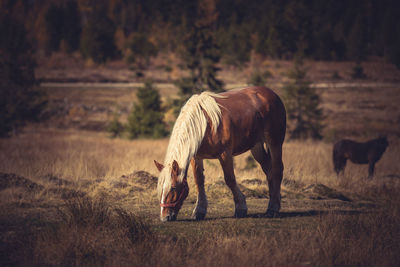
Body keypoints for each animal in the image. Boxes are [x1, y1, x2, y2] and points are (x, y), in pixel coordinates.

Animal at [154, 87, 288, 223]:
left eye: (173, 187)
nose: (164, 217)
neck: (205, 123)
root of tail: (271, 94)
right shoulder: (196, 157)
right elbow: (199, 181)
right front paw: (199, 210)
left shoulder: (225, 154)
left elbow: (230, 179)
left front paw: (241, 207)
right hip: (257, 147)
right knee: (269, 172)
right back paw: (271, 205)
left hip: (274, 142)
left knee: (277, 171)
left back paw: (273, 209)